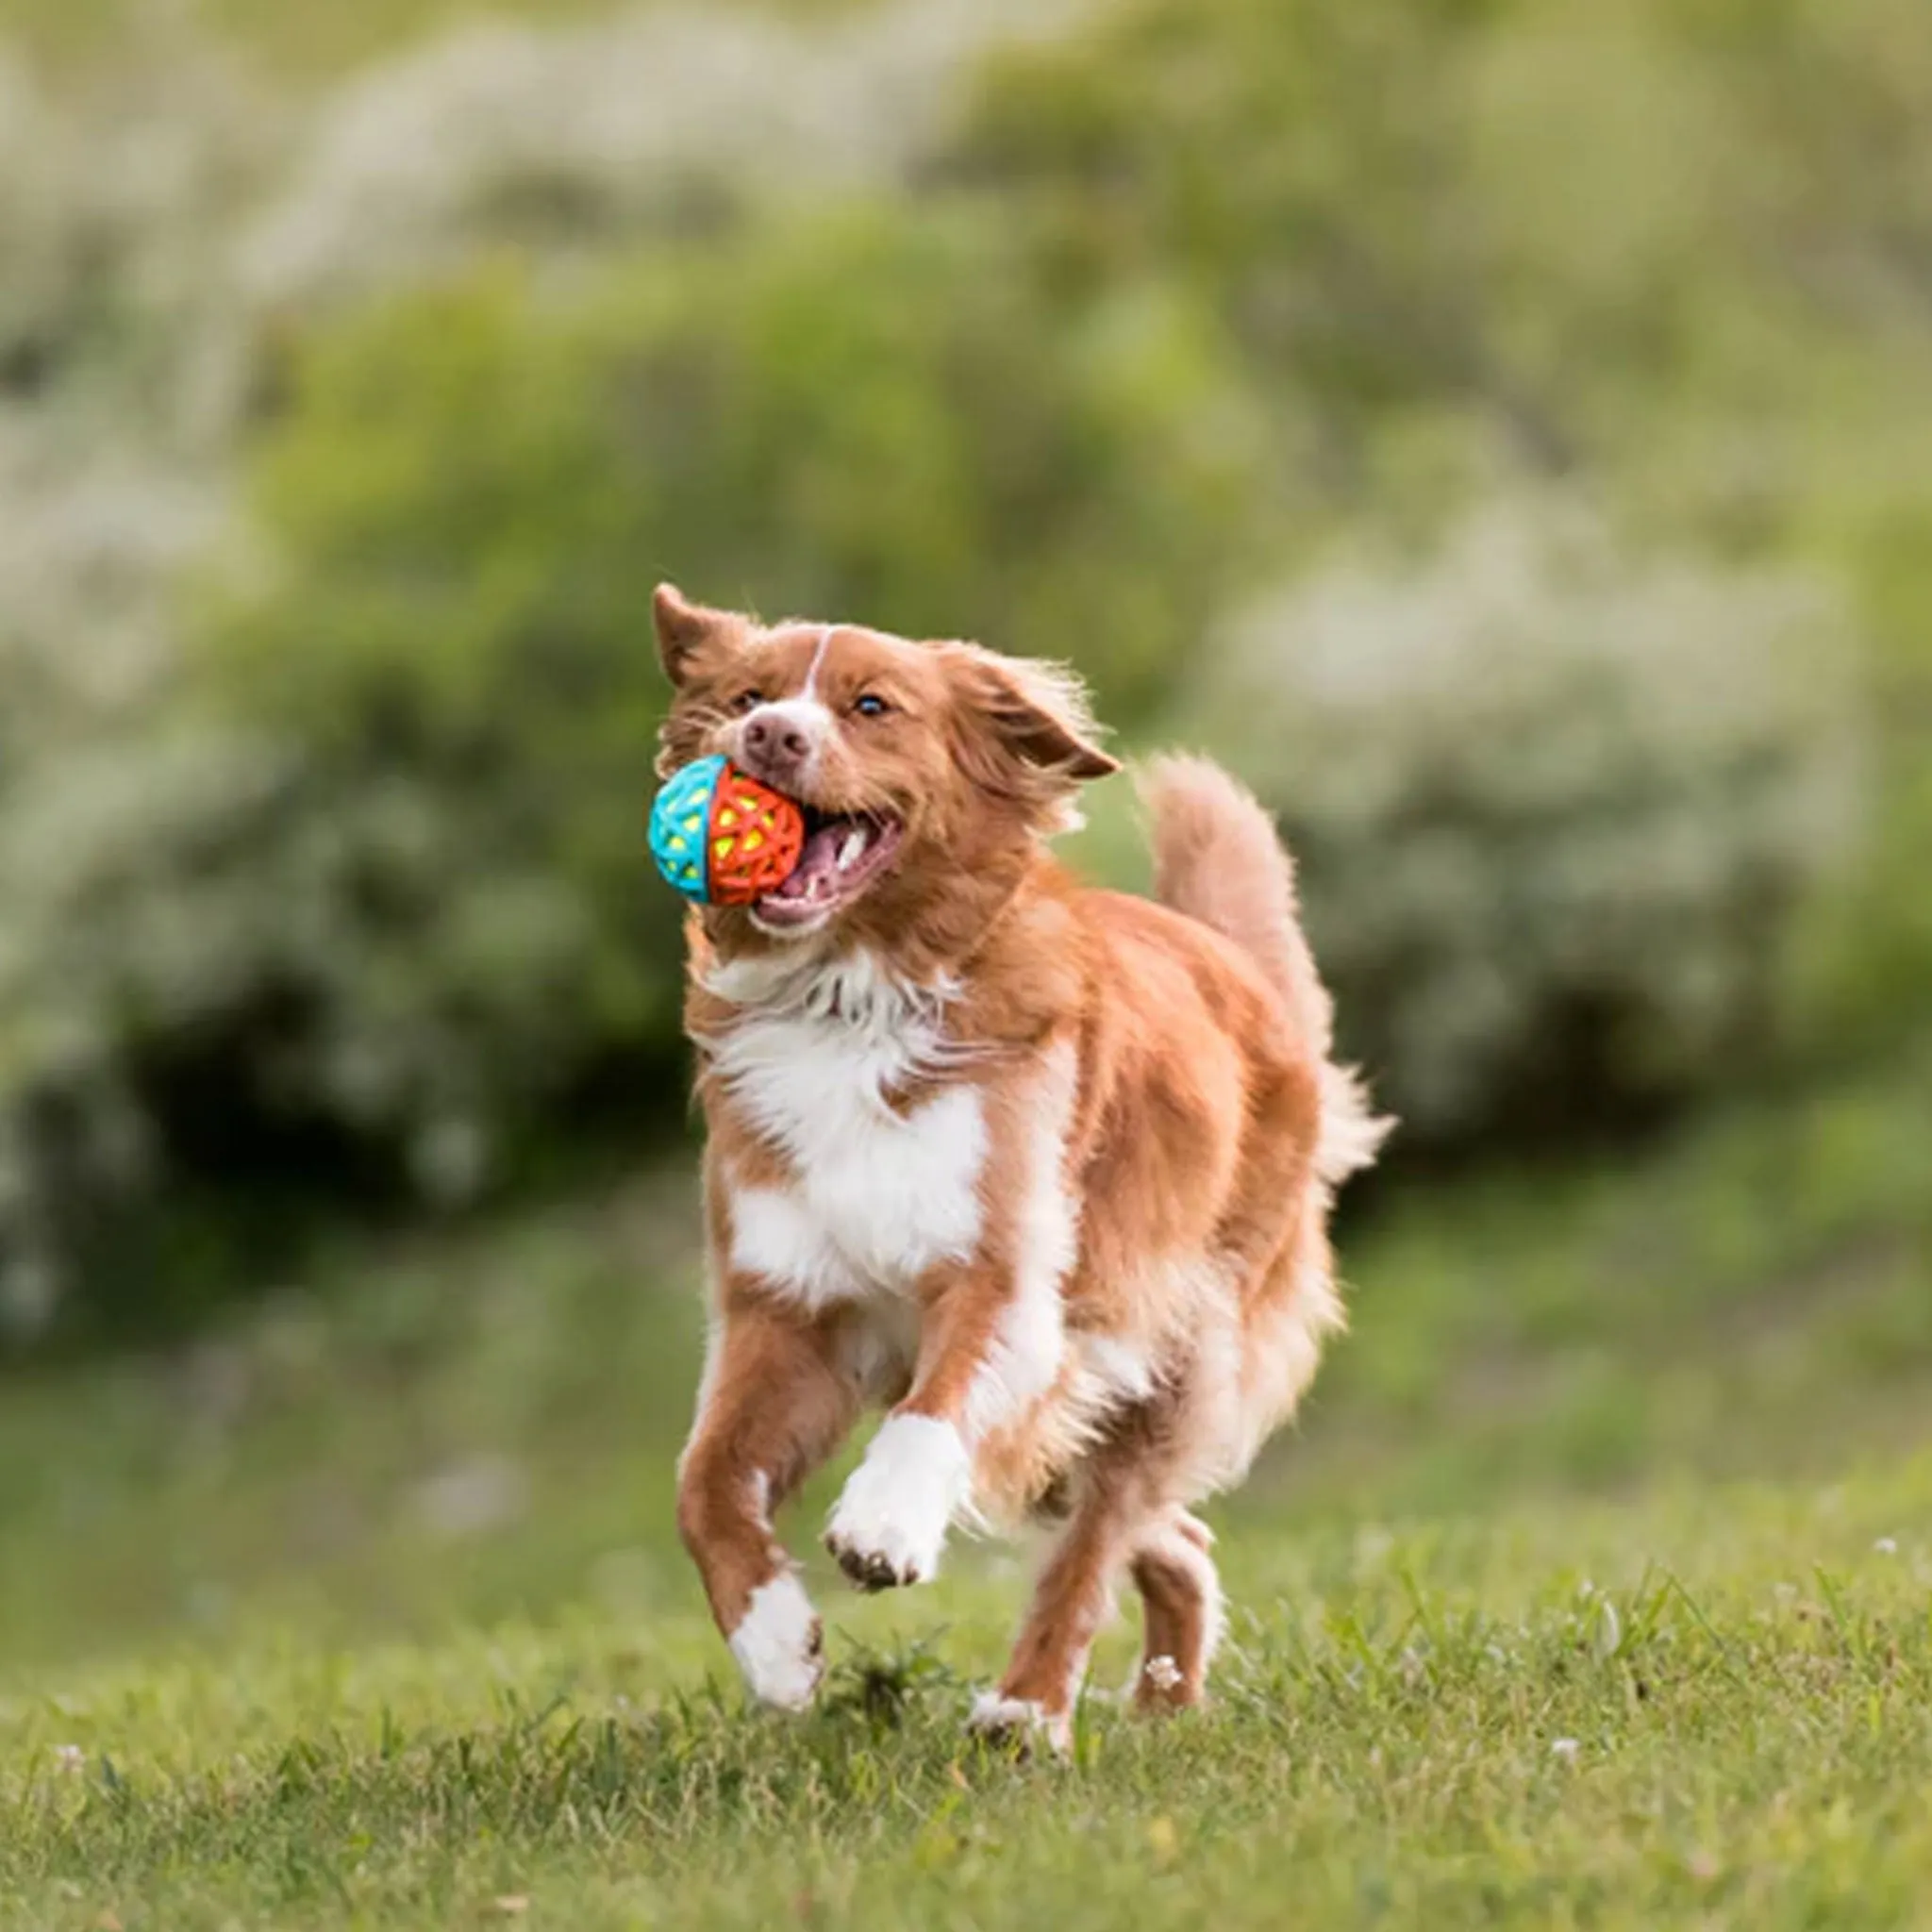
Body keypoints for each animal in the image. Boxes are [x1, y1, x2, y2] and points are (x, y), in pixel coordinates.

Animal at [657, 579, 1383, 1746]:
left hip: (1165, 1345)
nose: (769, 737)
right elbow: (703, 1480)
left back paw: (1028, 1708)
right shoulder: (785, 1308)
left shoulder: (1006, 1275)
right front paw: (773, 1644)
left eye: (870, 704)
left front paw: (883, 1522)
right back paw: (1162, 1697)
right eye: (747, 697)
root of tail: (1234, 961)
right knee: (1170, 1536)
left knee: (1095, 1544)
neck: (850, 999)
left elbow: (933, 1409)